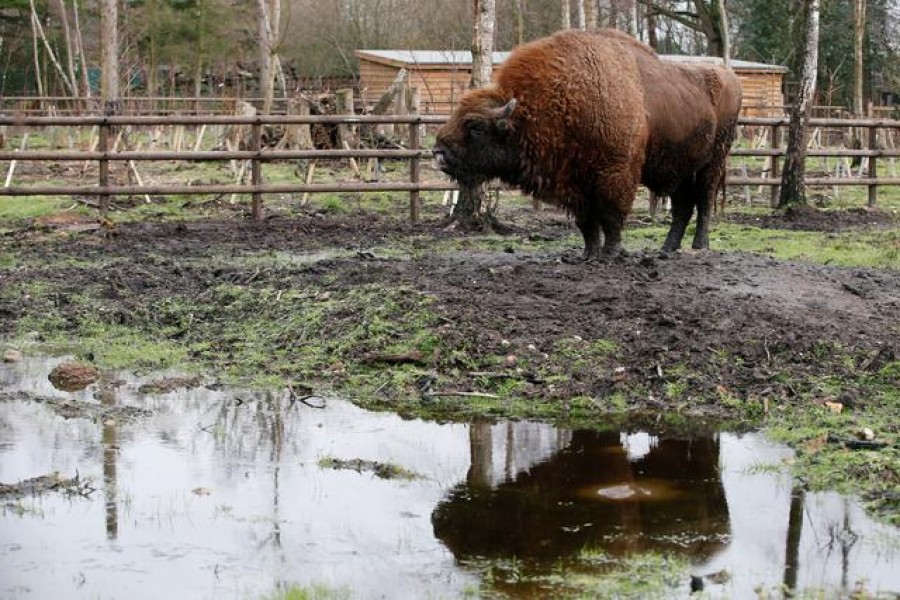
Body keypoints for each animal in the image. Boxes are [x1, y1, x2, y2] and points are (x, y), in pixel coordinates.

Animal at [432, 27, 740, 256]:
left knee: (703, 202)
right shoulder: (575, 184)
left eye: (476, 127)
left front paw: (611, 253)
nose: (438, 152)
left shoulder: (616, 174)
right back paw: (666, 250)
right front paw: (589, 254)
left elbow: (611, 217)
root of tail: (729, 77)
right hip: (681, 169)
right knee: (682, 207)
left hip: (712, 163)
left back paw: (699, 247)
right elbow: (587, 223)